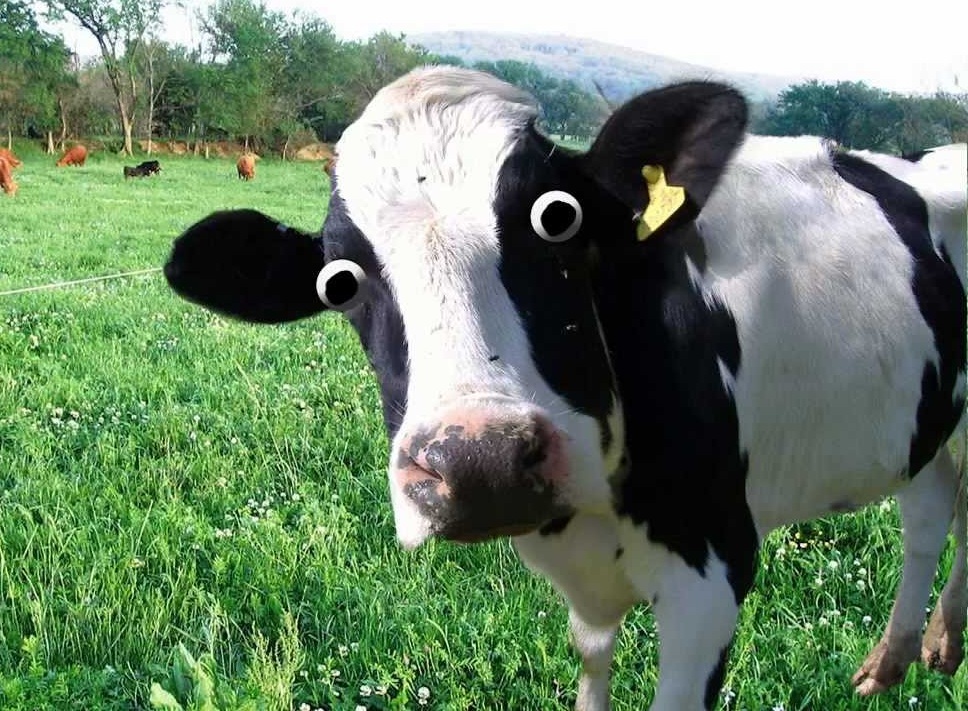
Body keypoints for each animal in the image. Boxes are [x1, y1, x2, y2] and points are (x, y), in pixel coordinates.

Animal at [164, 67, 968, 710]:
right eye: (339, 283)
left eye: (559, 218)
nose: (479, 463)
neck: (591, 517)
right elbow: (592, 659)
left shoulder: (713, 571)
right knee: (932, 508)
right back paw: (907, 654)